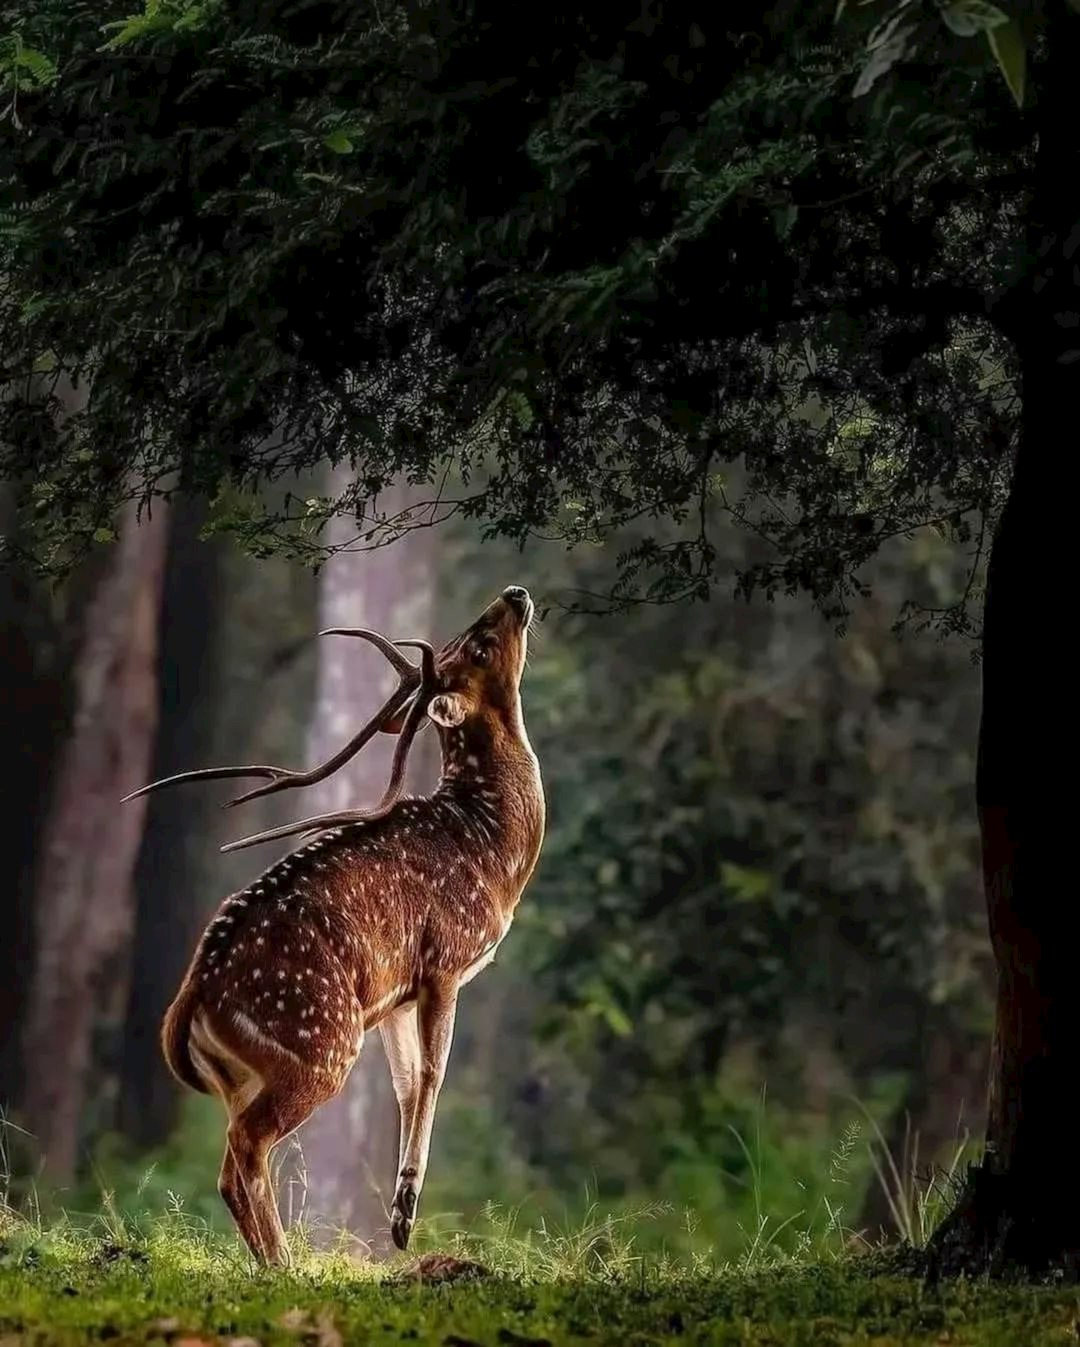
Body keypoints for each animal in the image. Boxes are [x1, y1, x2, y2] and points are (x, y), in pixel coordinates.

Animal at [124, 586, 544, 1264]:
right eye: (479, 645)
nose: (515, 593)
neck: (493, 850)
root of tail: (194, 993)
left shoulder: (398, 996)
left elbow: (406, 1085)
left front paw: (399, 1216)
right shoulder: (445, 959)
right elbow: (434, 1075)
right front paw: (404, 1217)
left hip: (247, 1073)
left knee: (229, 1165)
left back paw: (270, 1262)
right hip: (320, 1043)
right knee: (249, 1145)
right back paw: (286, 1263)